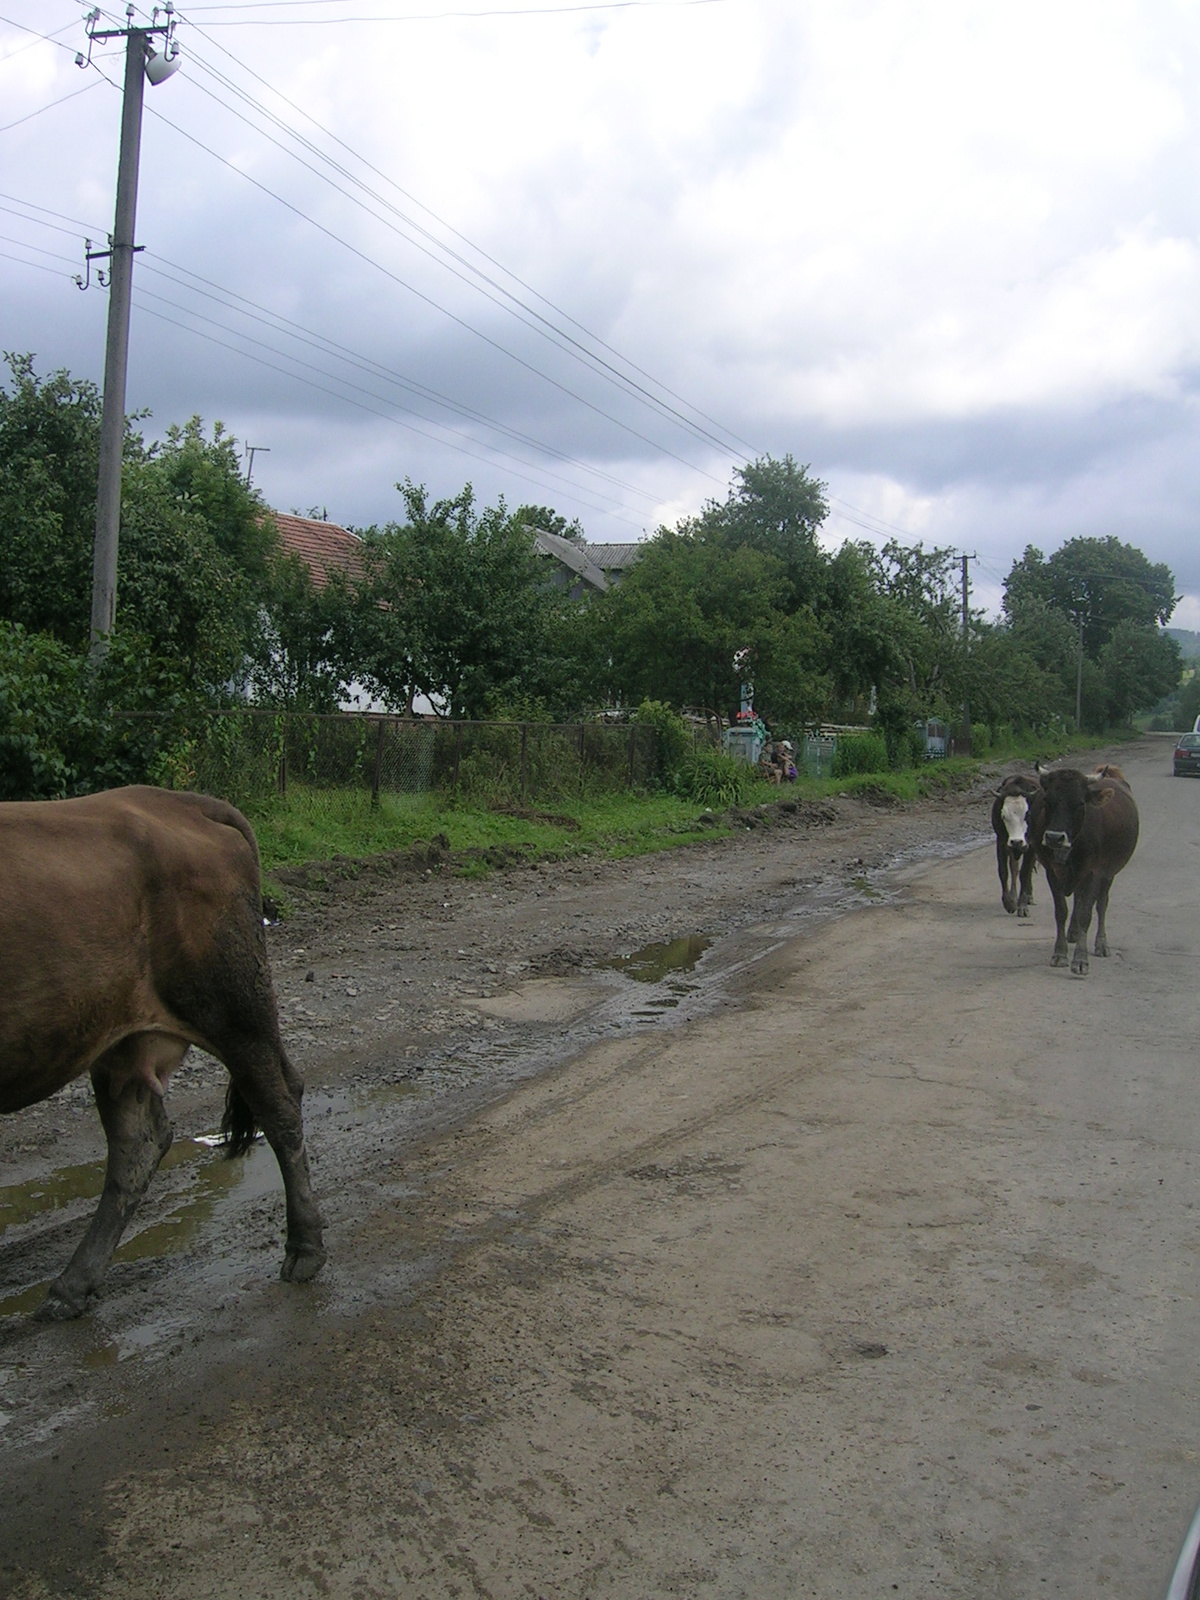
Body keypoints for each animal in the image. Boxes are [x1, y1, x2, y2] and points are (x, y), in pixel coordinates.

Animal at [0, 780, 326, 1318]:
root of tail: (180, 801)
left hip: (234, 1008)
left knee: (279, 1106)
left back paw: (305, 1250)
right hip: (123, 1040)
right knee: (139, 1143)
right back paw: (74, 1284)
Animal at [998, 771, 1043, 915]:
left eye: (1027, 815)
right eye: (1003, 816)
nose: (1017, 841)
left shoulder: (1031, 846)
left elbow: (1025, 872)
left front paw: (1022, 906)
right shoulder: (1001, 842)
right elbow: (1004, 871)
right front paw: (1009, 902)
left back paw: (1028, 897)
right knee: (1014, 868)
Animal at [1030, 764, 1139, 972]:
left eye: (1080, 803)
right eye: (1048, 800)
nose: (1054, 838)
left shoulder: (1094, 872)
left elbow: (1085, 914)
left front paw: (1080, 959)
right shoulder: (1052, 871)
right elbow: (1061, 911)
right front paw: (1060, 953)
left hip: (1108, 873)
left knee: (1101, 904)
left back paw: (1101, 943)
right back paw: (1073, 933)